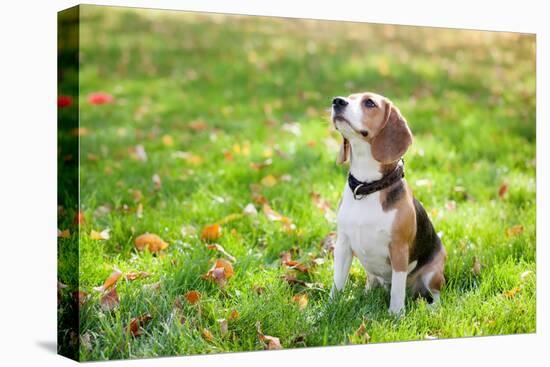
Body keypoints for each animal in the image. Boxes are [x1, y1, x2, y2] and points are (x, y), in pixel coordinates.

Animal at [330, 92, 446, 316]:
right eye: (349, 97)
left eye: (369, 103)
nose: (337, 101)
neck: (367, 187)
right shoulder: (343, 245)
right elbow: (337, 282)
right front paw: (328, 308)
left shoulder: (399, 249)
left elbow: (397, 290)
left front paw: (396, 315)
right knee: (372, 282)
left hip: (433, 273)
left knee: (435, 294)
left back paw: (432, 308)